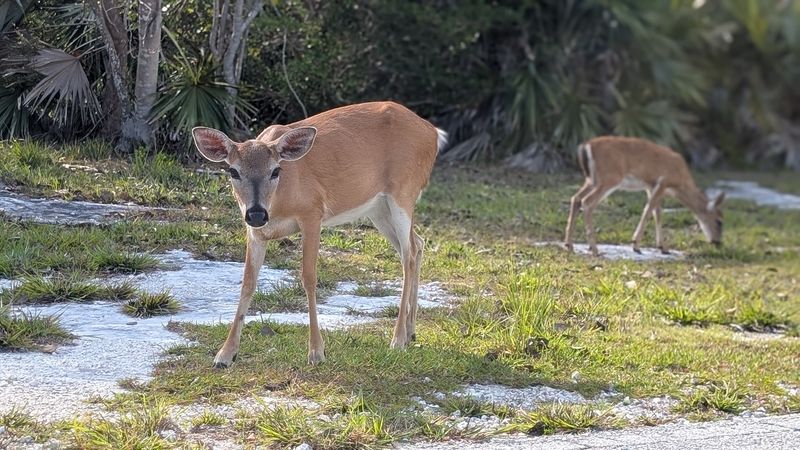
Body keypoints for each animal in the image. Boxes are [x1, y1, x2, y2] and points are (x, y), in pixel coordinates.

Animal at [192, 102, 446, 368]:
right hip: (378, 208)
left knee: (408, 255)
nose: (257, 214)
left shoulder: (313, 212)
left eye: (275, 171)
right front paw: (225, 354)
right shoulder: (255, 233)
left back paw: (397, 339)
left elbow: (309, 277)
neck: (280, 201)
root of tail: (432, 132)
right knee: (418, 244)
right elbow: (248, 283)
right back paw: (410, 332)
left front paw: (316, 352)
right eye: (233, 171)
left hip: (404, 191)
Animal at [564, 136, 725, 256]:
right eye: (719, 222)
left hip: (592, 179)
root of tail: (586, 146)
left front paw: (662, 247)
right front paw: (636, 244)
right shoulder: (663, 182)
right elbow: (648, 211)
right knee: (587, 202)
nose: (718, 242)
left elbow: (657, 213)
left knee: (575, 199)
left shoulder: (650, 186)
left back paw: (569, 245)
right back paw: (595, 249)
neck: (681, 183)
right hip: (609, 177)